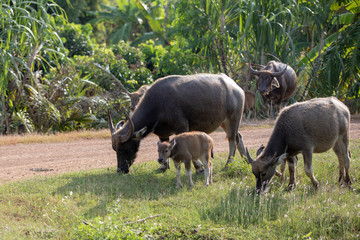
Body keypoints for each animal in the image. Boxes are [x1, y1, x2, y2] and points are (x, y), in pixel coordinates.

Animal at [108, 73, 246, 172]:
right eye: (114, 149)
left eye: (122, 148)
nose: (120, 170)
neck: (158, 104)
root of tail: (237, 88)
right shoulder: (162, 133)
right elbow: (162, 145)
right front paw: (163, 167)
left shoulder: (182, 127)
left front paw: (199, 168)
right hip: (223, 122)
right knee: (239, 137)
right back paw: (246, 161)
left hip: (234, 118)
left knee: (232, 140)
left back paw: (228, 165)